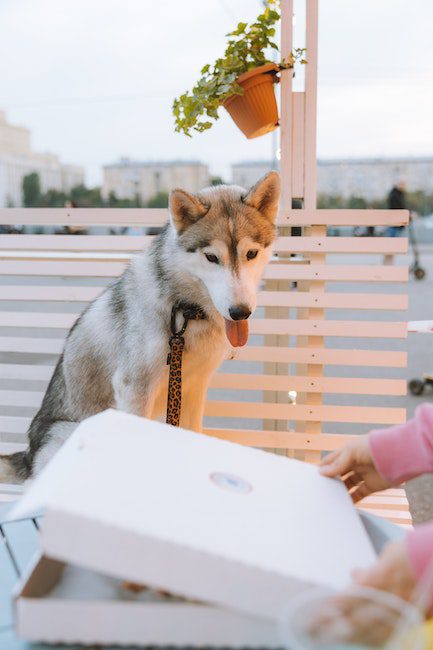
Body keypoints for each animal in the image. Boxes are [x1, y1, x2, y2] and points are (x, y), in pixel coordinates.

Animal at [0, 170, 278, 478]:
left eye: (251, 254)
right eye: (211, 257)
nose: (240, 312)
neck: (185, 310)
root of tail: (27, 458)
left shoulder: (195, 387)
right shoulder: (134, 387)